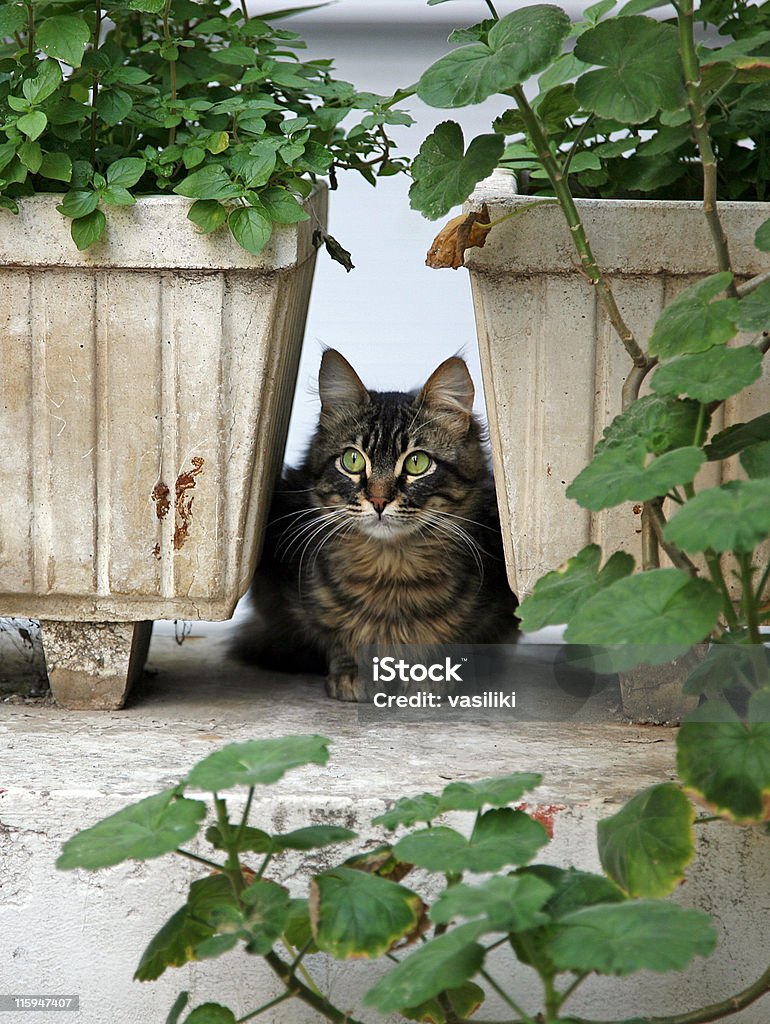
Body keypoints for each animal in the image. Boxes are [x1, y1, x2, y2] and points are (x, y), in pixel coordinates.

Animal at [237, 348, 520, 700]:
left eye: (417, 463)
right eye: (352, 460)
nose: (379, 500)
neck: (391, 572)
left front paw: (428, 674)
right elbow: (341, 637)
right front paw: (352, 674)